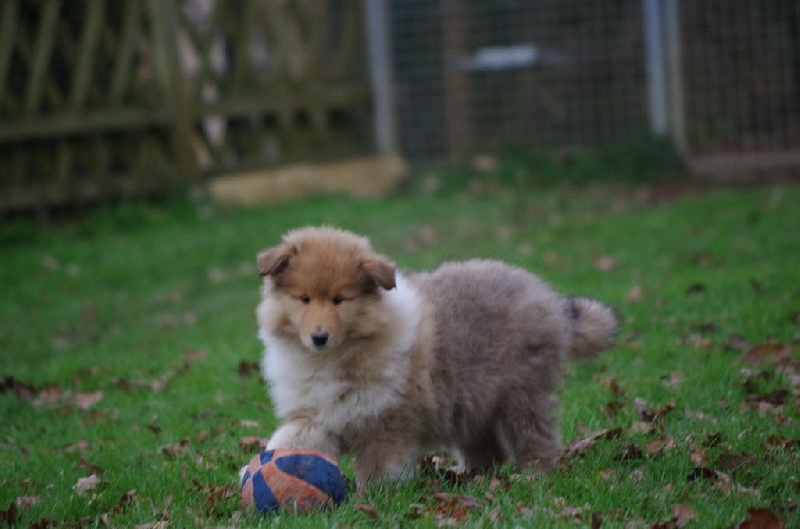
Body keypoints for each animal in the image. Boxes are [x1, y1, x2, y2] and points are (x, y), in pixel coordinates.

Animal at [253, 226, 616, 487]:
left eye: (339, 300)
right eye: (303, 299)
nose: (319, 337)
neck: (335, 358)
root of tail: (549, 300)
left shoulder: (388, 422)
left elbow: (379, 469)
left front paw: (375, 498)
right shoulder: (317, 415)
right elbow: (289, 441)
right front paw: (258, 469)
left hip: (523, 395)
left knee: (537, 438)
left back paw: (534, 477)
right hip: (473, 404)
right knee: (489, 449)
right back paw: (472, 477)